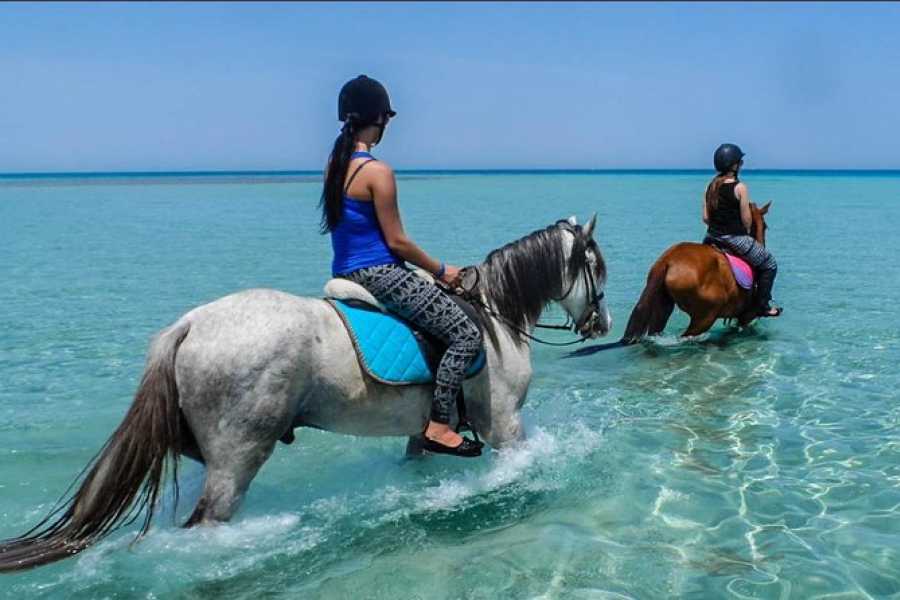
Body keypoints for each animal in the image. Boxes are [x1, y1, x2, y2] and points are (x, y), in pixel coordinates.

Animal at [0, 215, 611, 573]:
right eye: (597, 267)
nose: (601, 321)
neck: (494, 316)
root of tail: (189, 326)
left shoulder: (424, 432)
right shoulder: (504, 425)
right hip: (239, 455)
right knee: (208, 523)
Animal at [622, 202, 771, 342]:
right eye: (765, 226)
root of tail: (667, 260)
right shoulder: (747, 315)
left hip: (663, 306)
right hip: (704, 317)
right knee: (686, 335)